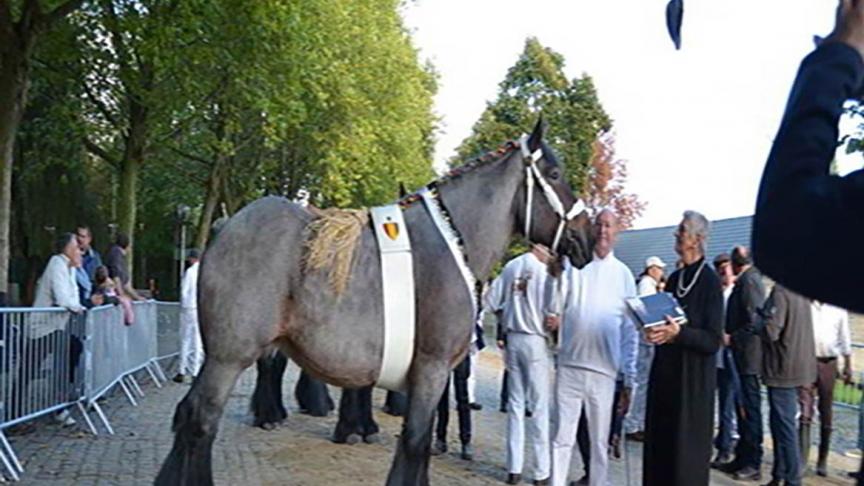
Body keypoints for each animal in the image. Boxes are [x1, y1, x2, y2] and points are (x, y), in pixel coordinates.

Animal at [154, 118, 592, 486]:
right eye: (555, 174)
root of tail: (227, 225)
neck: (451, 242)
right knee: (200, 419)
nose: (587, 236)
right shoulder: (432, 369)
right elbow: (415, 442)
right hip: (228, 356)